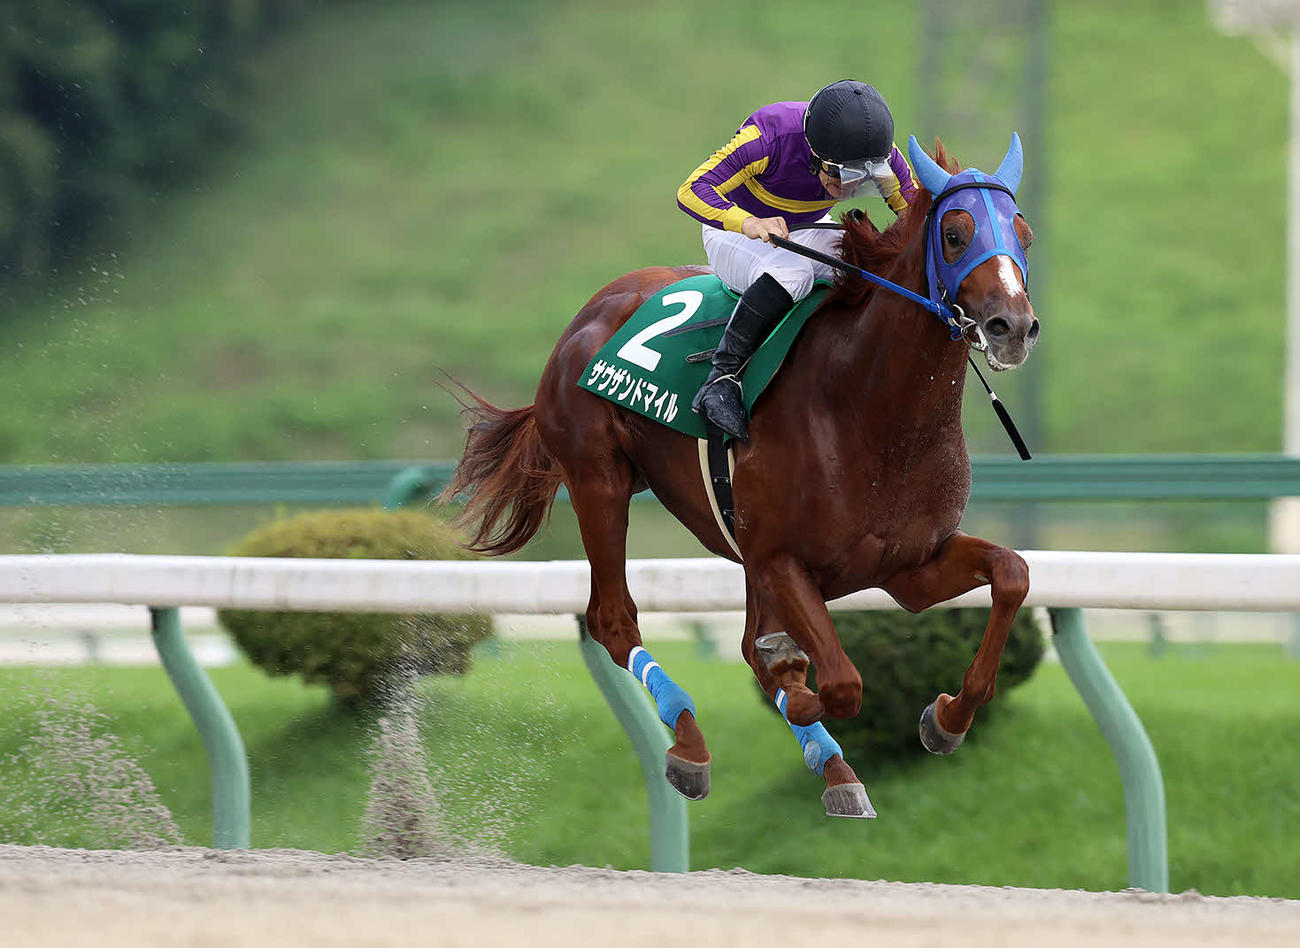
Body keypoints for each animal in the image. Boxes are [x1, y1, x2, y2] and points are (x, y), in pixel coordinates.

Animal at [443, 136, 1038, 818]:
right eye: (956, 234)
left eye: (1024, 234)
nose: (1013, 327)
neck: (869, 411)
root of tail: (592, 309)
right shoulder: (781, 557)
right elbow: (838, 682)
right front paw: (798, 687)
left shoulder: (908, 568)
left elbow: (1012, 574)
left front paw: (947, 717)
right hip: (599, 481)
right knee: (614, 619)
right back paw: (691, 745)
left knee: (746, 641)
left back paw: (833, 767)